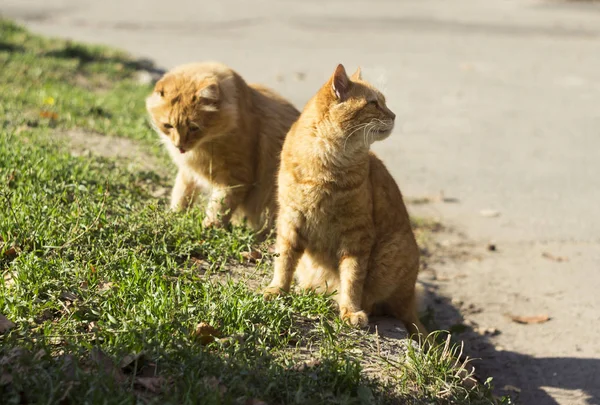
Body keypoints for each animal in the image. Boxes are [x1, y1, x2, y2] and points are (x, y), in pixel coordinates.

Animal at [146, 61, 300, 232]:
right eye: (168, 126)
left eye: (193, 128)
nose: (179, 145)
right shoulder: (189, 173)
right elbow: (181, 196)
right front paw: (174, 216)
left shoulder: (236, 178)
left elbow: (219, 207)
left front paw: (208, 228)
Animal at [264, 64, 426, 338]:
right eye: (373, 103)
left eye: (384, 102)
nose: (394, 115)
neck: (325, 166)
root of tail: (410, 300)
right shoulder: (290, 220)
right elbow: (284, 261)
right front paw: (278, 289)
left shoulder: (357, 236)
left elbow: (352, 278)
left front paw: (350, 310)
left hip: (391, 253)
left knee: (374, 301)